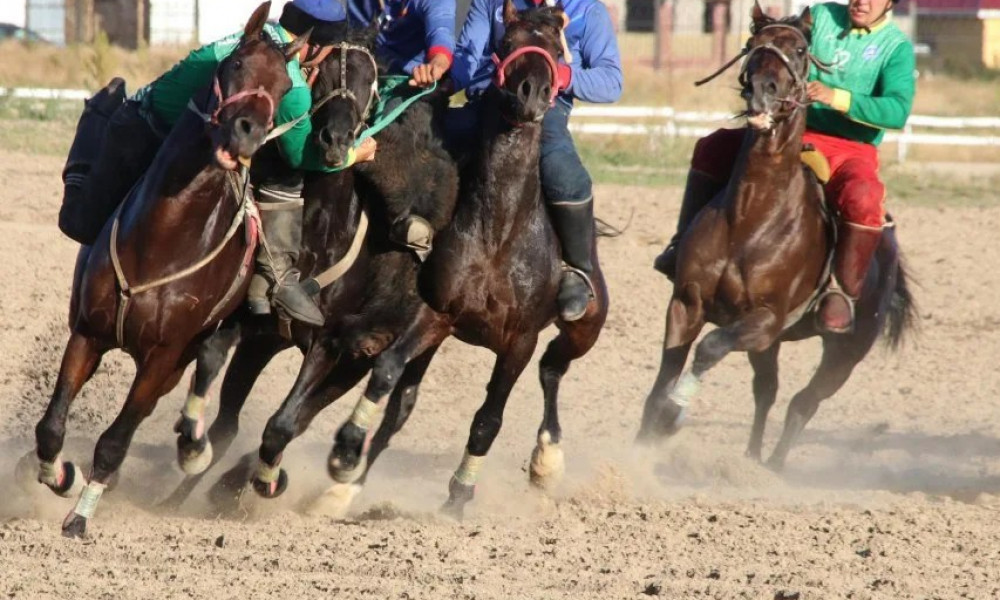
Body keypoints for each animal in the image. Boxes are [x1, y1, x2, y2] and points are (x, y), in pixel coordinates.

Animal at [23, 3, 308, 540]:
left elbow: (115, 441)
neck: (162, 242)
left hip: (189, 354)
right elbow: (50, 427)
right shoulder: (87, 334)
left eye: (284, 90)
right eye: (237, 63)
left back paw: (192, 449)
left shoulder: (163, 357)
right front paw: (62, 476)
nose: (248, 132)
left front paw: (80, 515)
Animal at [272, 0, 608, 516]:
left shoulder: (519, 341)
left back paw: (547, 459)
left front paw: (459, 495)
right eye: (507, 43)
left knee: (553, 367)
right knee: (404, 404)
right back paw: (343, 488)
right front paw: (346, 451)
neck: (497, 237)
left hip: (585, 325)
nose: (531, 93)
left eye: (556, 49)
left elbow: (488, 420)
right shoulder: (434, 315)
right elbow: (388, 375)